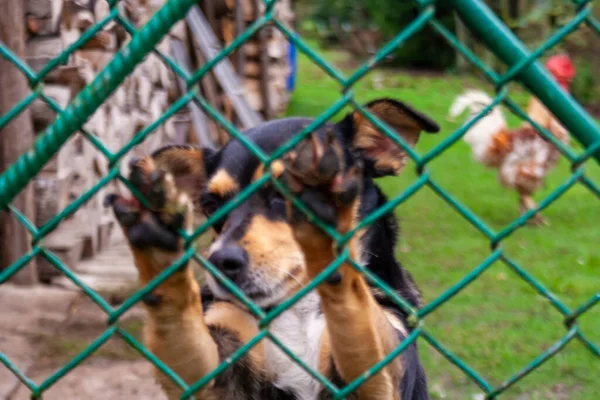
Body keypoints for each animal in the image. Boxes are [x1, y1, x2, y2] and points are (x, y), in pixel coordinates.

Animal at [105, 97, 438, 400]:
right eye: (212, 205)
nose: (221, 262)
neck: (298, 306)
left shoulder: (382, 376)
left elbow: (354, 308)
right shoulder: (214, 368)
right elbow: (178, 322)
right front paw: (158, 239)